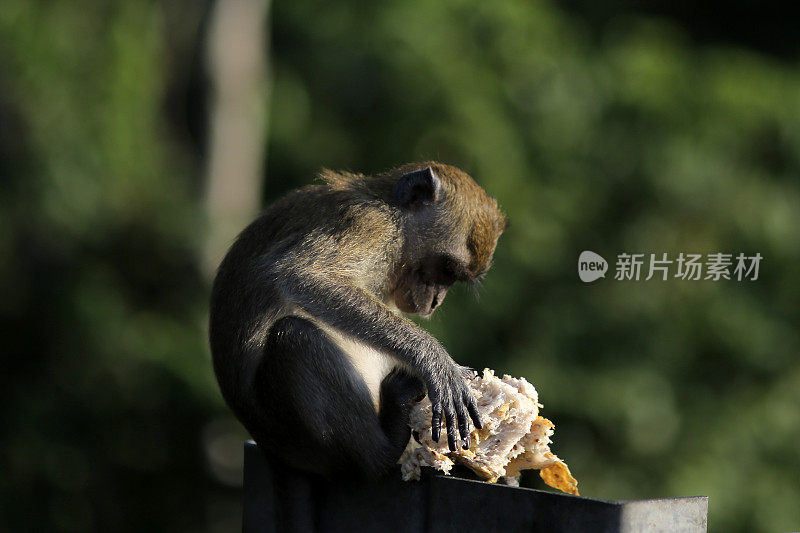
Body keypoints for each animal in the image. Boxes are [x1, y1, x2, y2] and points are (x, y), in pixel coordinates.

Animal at [209, 160, 504, 480]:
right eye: (447, 269)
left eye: (451, 278)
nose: (435, 300)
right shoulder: (369, 225)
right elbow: (304, 276)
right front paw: (435, 361)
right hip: (296, 439)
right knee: (294, 336)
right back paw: (380, 452)